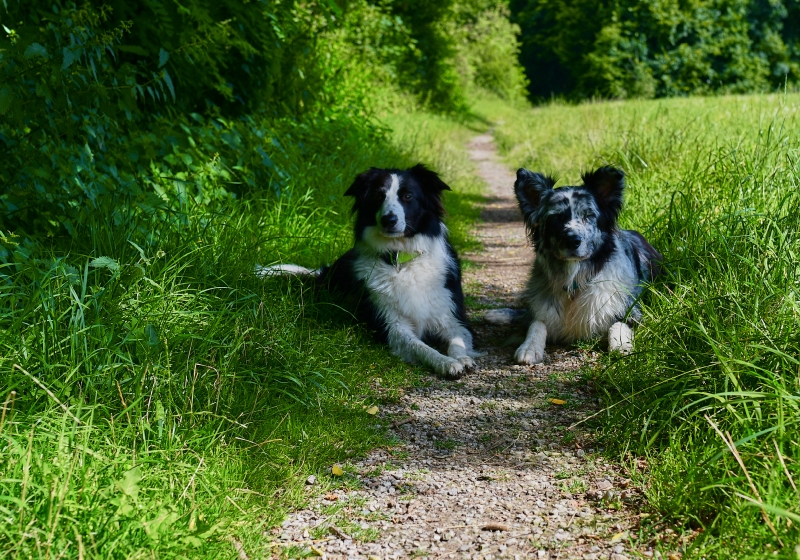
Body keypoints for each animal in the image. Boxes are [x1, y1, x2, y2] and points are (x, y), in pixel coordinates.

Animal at [260, 164, 478, 378]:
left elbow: (458, 340)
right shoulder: (391, 324)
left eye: (408, 196)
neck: (400, 261)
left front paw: (462, 358)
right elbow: (420, 346)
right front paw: (445, 362)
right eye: (378, 196)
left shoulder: (452, 315)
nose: (389, 219)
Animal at [488, 167, 664, 364]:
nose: (572, 241)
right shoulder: (543, 308)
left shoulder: (631, 311)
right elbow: (536, 323)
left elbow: (618, 323)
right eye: (555, 218)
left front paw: (621, 346)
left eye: (589, 216)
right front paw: (529, 347)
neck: (574, 279)